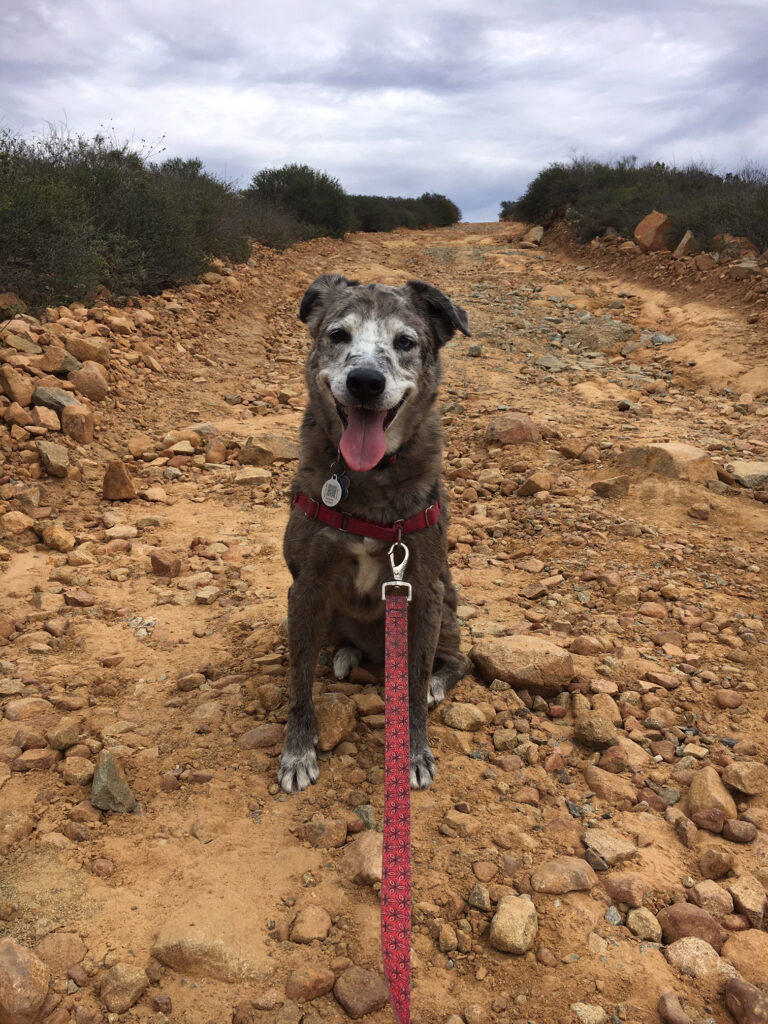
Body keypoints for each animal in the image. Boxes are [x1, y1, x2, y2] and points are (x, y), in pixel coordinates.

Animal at [280, 276, 473, 794]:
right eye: (338, 335)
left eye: (405, 342)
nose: (365, 381)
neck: (368, 478)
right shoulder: (306, 587)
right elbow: (300, 680)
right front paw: (298, 752)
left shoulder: (423, 588)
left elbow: (413, 686)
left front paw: (415, 751)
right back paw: (348, 655)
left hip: (448, 609)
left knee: (457, 661)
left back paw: (436, 682)